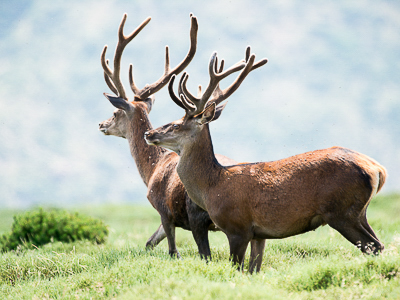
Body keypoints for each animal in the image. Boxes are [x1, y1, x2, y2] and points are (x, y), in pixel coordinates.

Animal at [99, 12, 242, 258]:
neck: (152, 169)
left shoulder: (163, 210)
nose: (101, 124)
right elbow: (149, 242)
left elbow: (172, 250)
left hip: (197, 213)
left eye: (115, 113)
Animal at [144, 49, 388, 274]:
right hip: (360, 212)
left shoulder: (237, 227)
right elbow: (254, 269)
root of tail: (377, 169)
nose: (149, 133)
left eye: (176, 125)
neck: (212, 187)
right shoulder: (258, 234)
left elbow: (237, 268)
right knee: (379, 245)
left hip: (341, 211)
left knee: (373, 246)